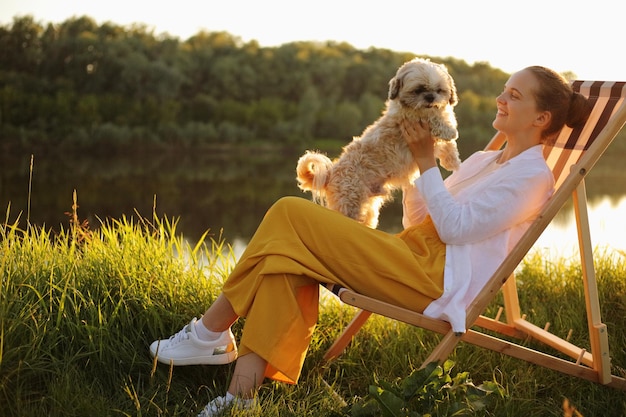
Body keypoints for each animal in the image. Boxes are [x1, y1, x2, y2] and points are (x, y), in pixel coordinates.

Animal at [292, 57, 458, 228]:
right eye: (418, 90)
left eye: (439, 90)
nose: (430, 97)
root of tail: (331, 173)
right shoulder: (412, 116)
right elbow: (433, 118)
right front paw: (448, 131)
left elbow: (447, 145)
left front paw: (452, 161)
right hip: (350, 201)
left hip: (368, 207)